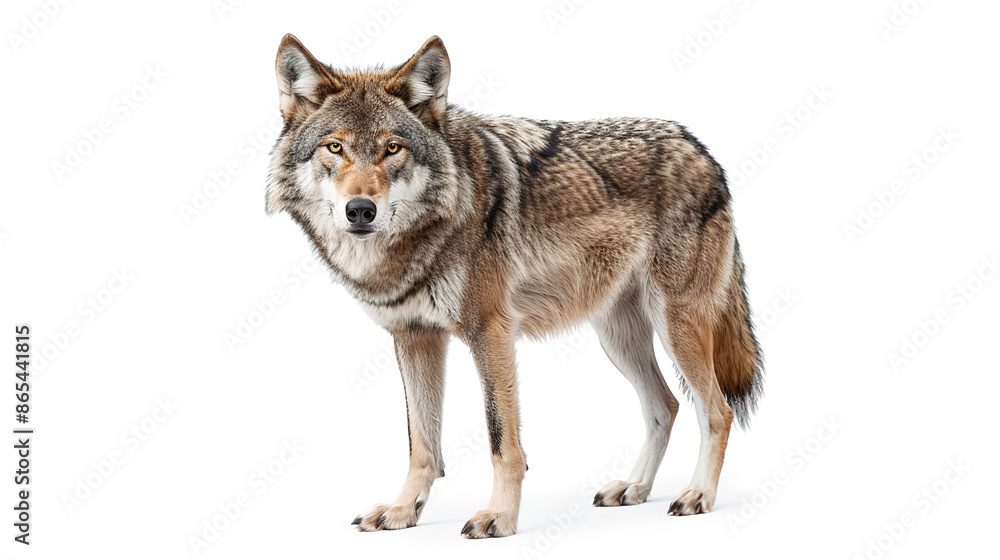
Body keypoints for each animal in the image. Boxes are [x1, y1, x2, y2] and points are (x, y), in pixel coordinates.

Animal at [266, 34, 763, 538]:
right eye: (334, 147)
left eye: (392, 148)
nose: (360, 210)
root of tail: (701, 148)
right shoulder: (414, 337)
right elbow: (421, 444)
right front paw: (404, 510)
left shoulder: (491, 333)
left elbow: (501, 441)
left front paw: (500, 517)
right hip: (618, 337)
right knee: (665, 405)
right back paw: (634, 488)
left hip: (675, 325)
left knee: (717, 410)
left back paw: (698, 494)